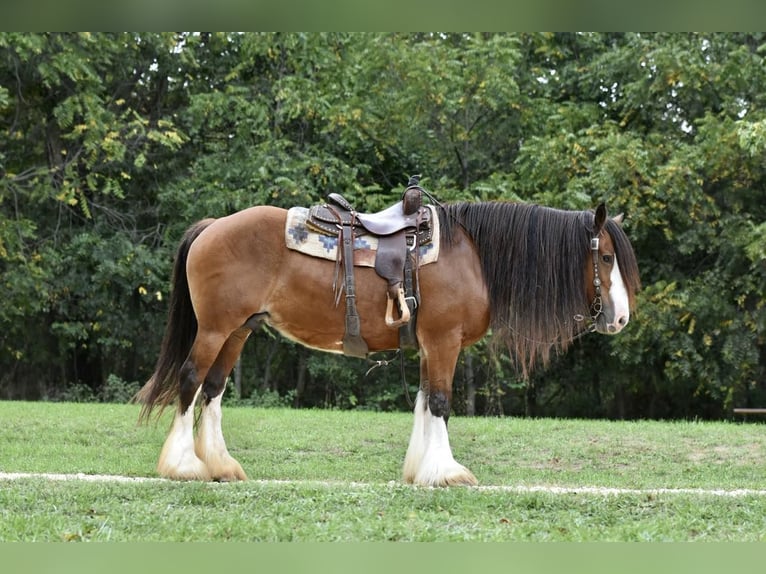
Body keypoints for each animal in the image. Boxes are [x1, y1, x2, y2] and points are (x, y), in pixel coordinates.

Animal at [138, 200, 640, 488]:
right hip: (215, 329)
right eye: (606, 258)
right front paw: (447, 472)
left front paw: (422, 469)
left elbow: (423, 402)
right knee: (190, 381)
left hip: (238, 330)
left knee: (213, 389)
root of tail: (213, 226)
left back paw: (220, 465)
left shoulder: (430, 345)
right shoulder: (443, 341)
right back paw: (183, 466)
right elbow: (439, 403)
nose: (620, 319)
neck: (471, 254)